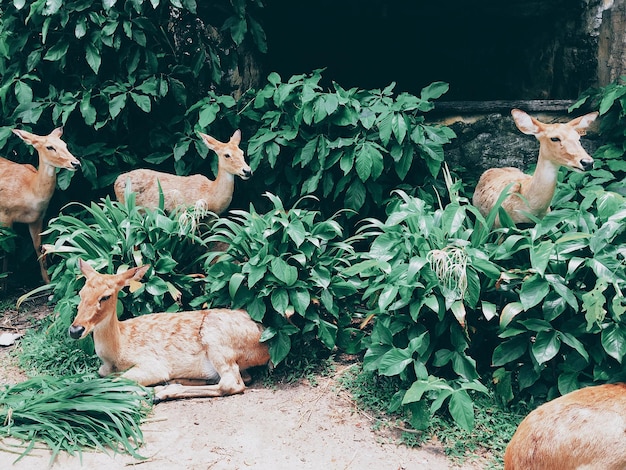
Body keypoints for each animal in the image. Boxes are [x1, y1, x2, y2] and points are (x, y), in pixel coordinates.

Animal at [0, 126, 80, 282]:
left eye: (65, 145)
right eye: (50, 147)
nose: (75, 163)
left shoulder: (37, 219)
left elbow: (39, 249)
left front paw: (48, 282)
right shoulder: (5, 215)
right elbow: (7, 252)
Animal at [67, 258, 268, 402]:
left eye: (106, 296)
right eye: (81, 293)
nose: (75, 329)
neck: (116, 353)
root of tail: (264, 344)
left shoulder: (152, 364)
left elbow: (116, 382)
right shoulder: (104, 369)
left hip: (217, 340)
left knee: (231, 383)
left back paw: (161, 392)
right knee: (243, 378)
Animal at [113, 130, 250, 215]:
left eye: (242, 152)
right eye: (227, 155)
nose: (247, 171)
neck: (211, 195)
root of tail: (116, 180)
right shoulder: (185, 213)